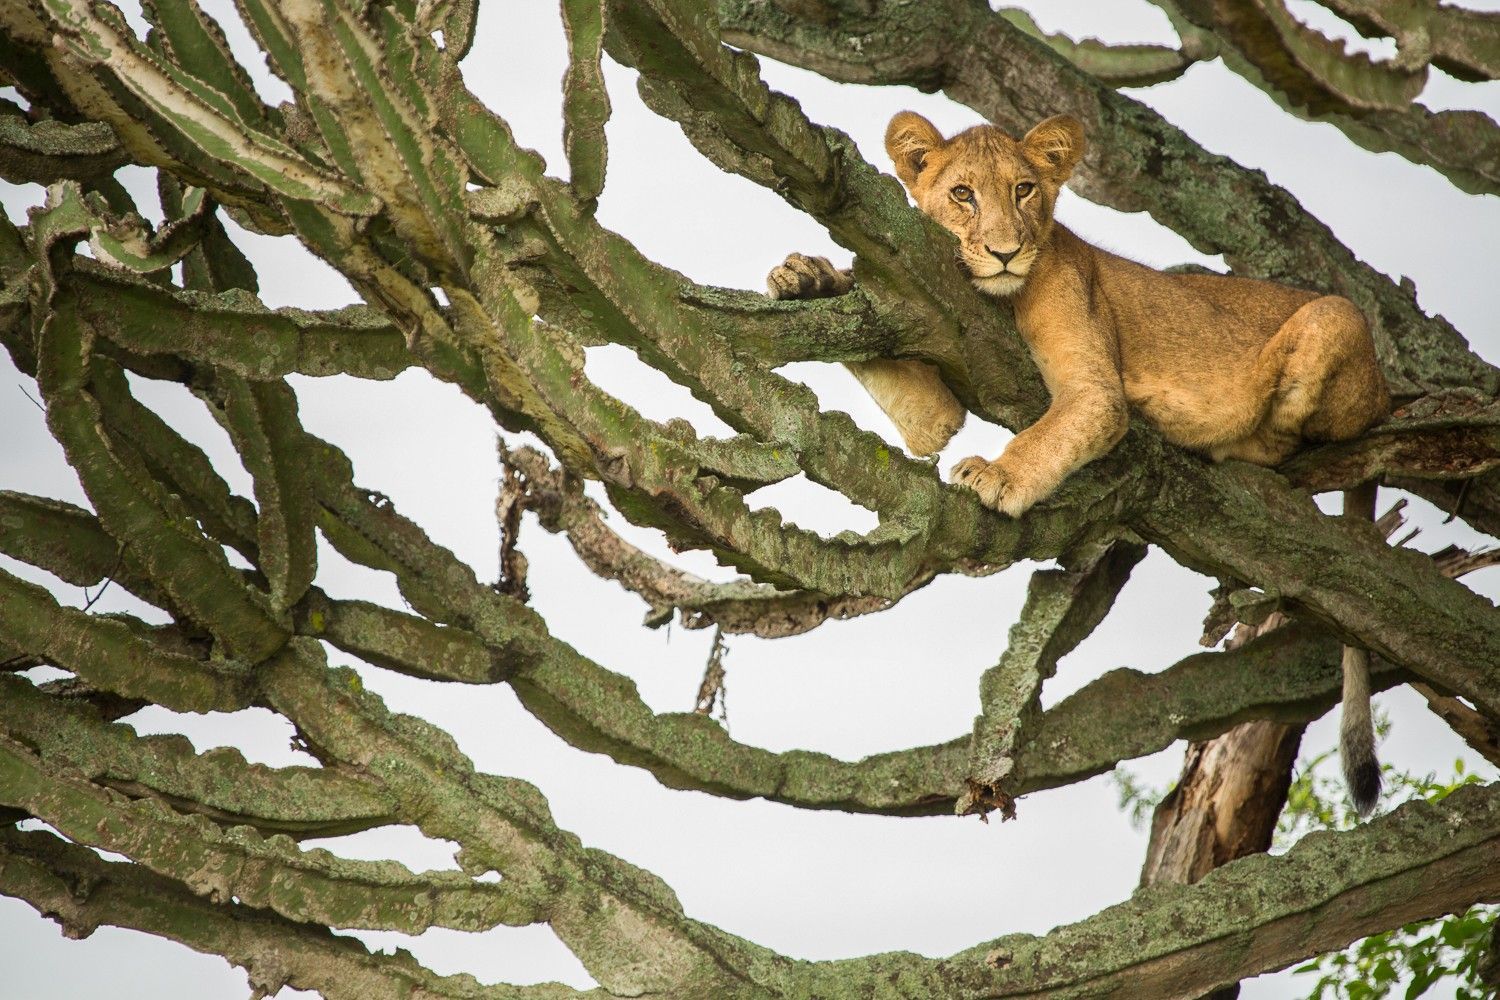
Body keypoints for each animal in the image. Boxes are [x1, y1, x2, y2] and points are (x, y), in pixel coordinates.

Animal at [767, 111, 1390, 814]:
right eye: (963, 195)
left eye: (1024, 190)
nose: (1005, 252)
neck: (999, 298)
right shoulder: (934, 378)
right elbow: (922, 412)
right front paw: (808, 278)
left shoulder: (1095, 392)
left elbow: (1049, 433)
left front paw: (995, 476)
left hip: (1334, 317)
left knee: (1286, 433)